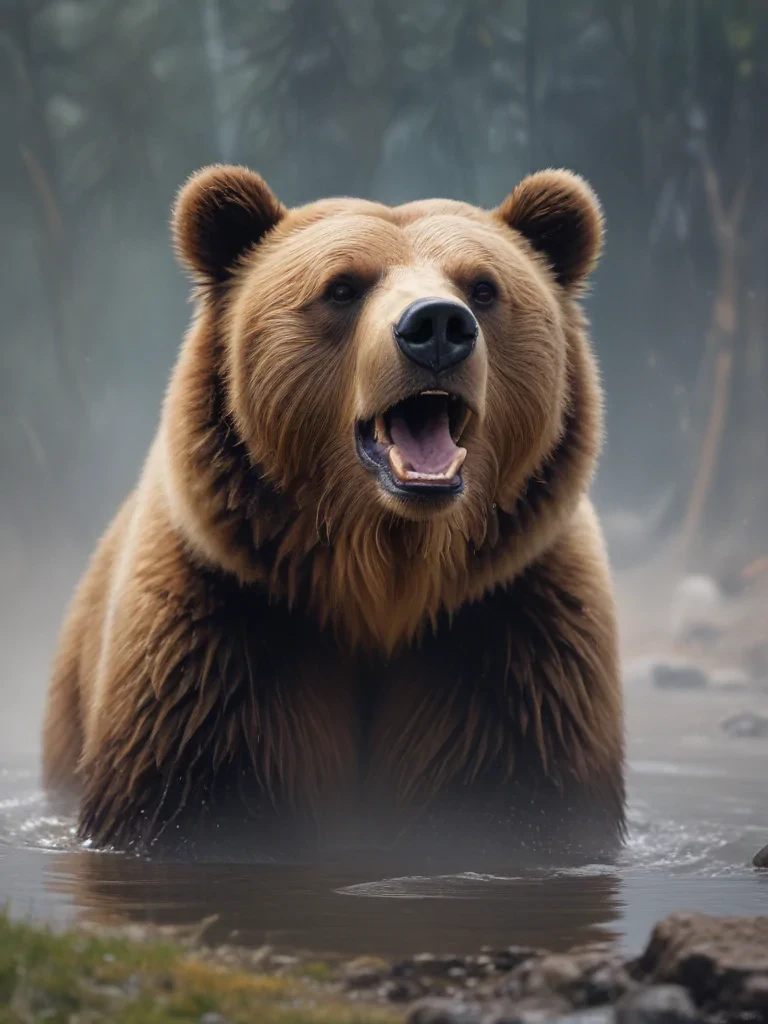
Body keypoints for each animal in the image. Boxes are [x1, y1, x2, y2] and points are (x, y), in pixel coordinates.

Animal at [42, 164, 625, 865]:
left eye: (483, 287)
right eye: (342, 287)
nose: (437, 326)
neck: (381, 582)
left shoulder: (512, 634)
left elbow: (521, 792)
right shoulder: (221, 630)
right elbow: (195, 794)